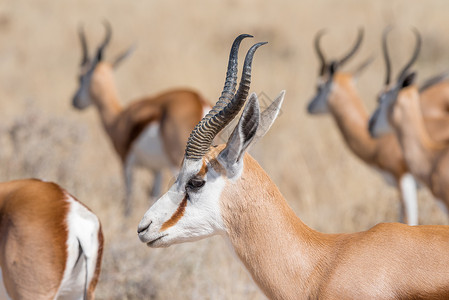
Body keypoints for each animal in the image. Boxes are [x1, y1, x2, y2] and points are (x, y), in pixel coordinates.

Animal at [72, 23, 210, 216]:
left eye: (80, 76)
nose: (74, 101)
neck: (119, 118)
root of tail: (199, 101)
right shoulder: (156, 169)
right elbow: (152, 196)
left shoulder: (126, 162)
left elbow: (128, 199)